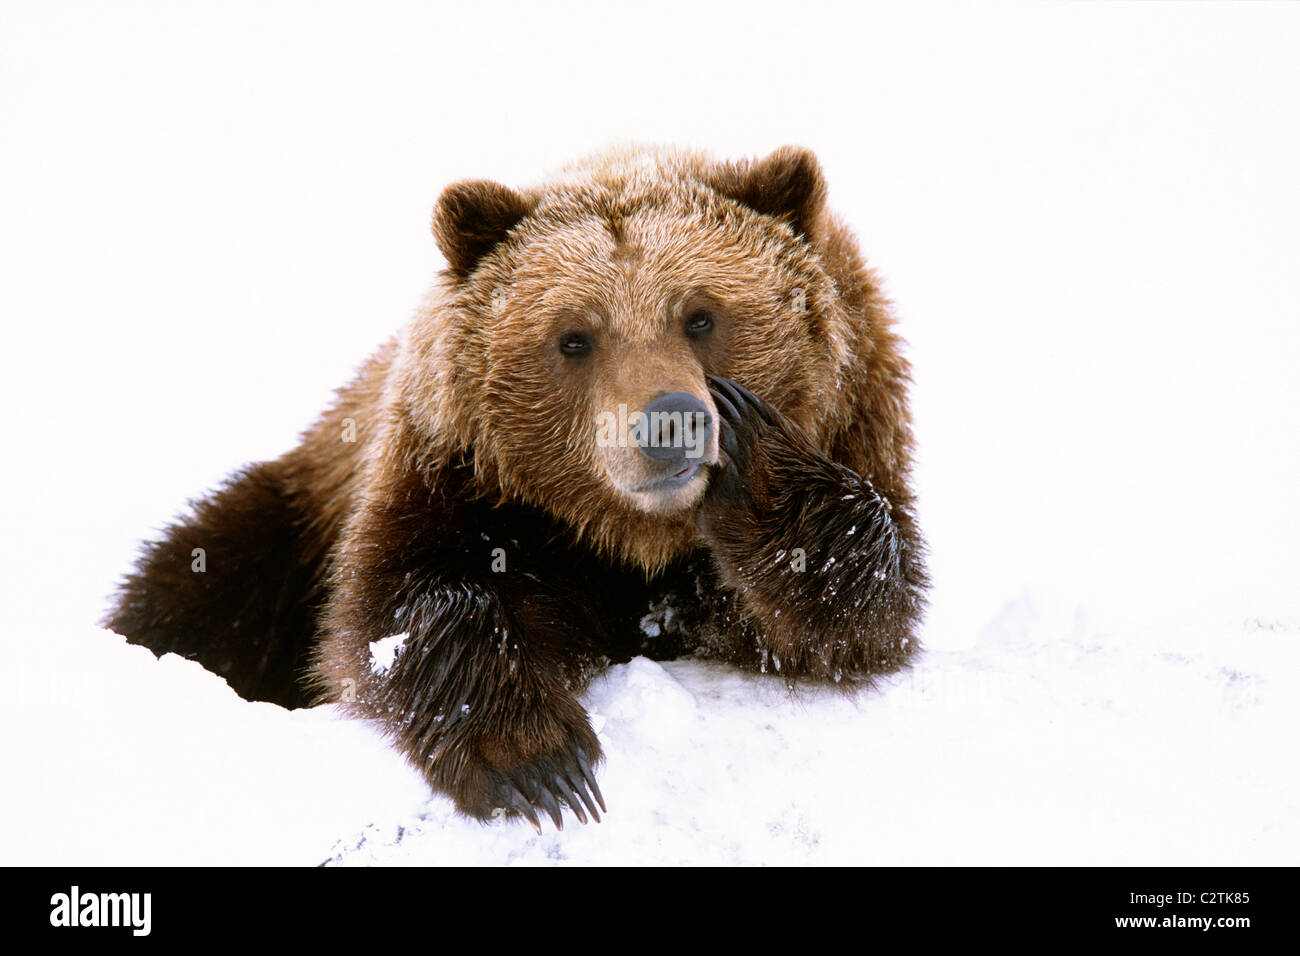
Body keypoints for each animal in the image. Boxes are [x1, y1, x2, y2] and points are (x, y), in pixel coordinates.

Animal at [105, 145, 928, 830]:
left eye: (701, 315)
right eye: (574, 337)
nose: (671, 423)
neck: (627, 538)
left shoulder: (860, 425)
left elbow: (852, 614)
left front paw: (757, 461)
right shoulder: (456, 477)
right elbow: (402, 609)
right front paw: (539, 762)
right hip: (292, 516)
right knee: (200, 578)